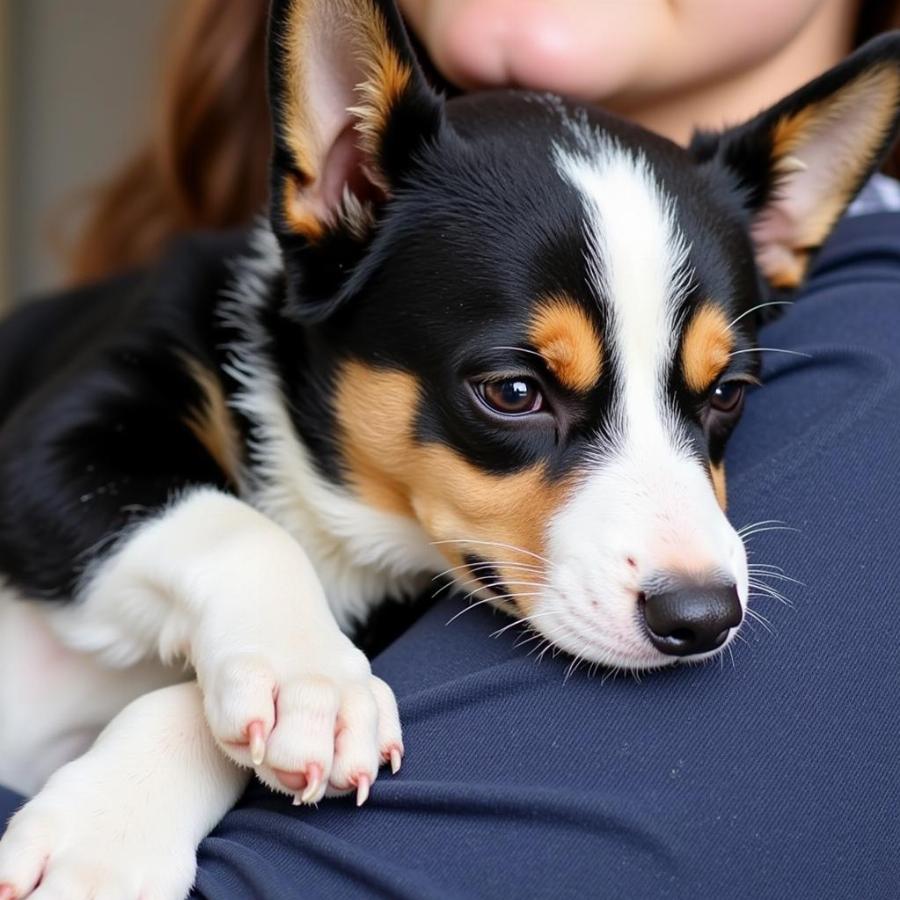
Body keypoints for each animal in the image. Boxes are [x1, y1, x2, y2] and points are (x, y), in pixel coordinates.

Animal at [1, 1, 900, 892]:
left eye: (726, 394)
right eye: (513, 393)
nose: (702, 617)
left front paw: (107, 835)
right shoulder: (49, 451)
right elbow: (233, 529)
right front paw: (310, 678)